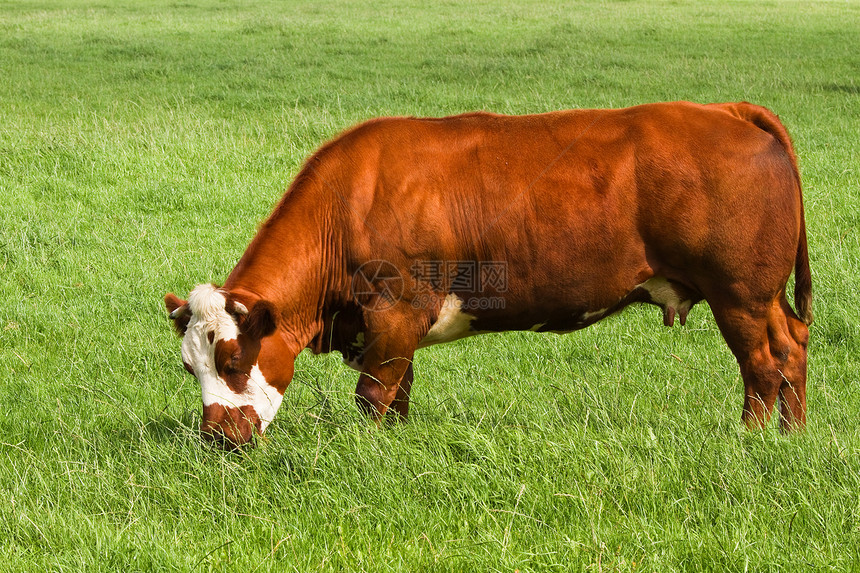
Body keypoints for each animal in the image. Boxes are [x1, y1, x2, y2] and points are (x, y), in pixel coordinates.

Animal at [163, 101, 812, 446]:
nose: (216, 436)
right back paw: (792, 436)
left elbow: (374, 395)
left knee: (761, 366)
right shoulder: (392, 328)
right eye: (191, 366)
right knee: (793, 347)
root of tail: (727, 111)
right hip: (765, 298)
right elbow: (399, 392)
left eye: (233, 361)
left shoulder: (395, 312)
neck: (350, 201)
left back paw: (753, 441)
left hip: (739, 294)